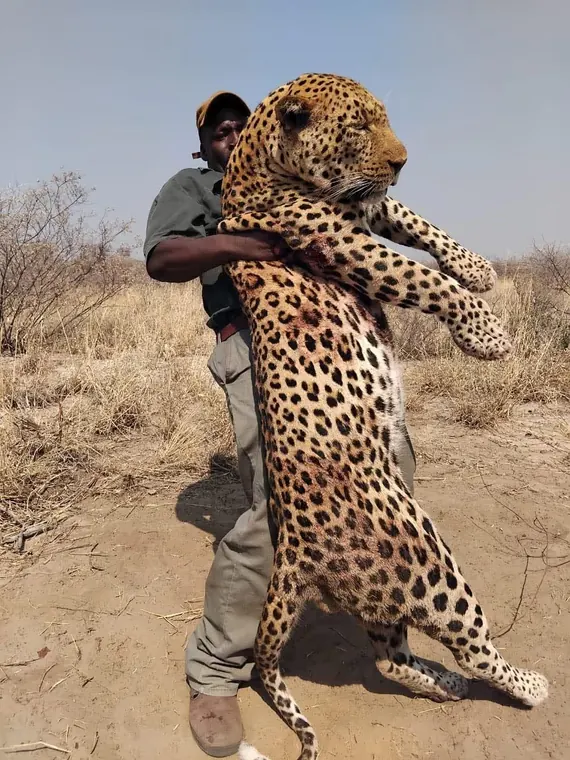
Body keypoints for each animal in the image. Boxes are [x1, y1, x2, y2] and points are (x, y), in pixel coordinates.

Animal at [215, 73, 547, 760]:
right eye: (360, 126)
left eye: (383, 120)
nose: (402, 159)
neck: (261, 154)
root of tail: (292, 554)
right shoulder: (342, 238)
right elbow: (421, 277)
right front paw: (487, 334)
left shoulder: (365, 207)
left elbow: (419, 222)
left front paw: (477, 268)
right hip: (426, 561)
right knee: (472, 644)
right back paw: (528, 685)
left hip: (381, 592)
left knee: (388, 657)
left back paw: (443, 684)